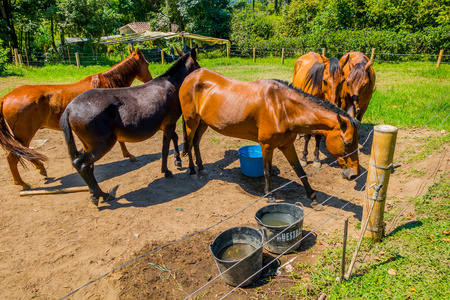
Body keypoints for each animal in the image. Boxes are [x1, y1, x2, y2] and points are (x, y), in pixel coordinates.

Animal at [0, 49, 152, 190]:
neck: (107, 84)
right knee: (13, 157)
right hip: (24, 135)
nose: (150, 80)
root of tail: (5, 97)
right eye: (147, 64)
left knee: (25, 153)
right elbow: (121, 140)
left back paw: (40, 168)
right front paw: (129, 155)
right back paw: (22, 183)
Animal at [59, 50, 200, 205]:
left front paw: (177, 159)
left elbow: (173, 139)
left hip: (88, 145)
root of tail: (69, 108)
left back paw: (96, 194)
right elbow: (165, 148)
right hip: (102, 144)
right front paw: (167, 170)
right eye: (199, 67)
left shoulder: (166, 125)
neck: (171, 84)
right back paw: (102, 194)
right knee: (81, 164)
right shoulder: (169, 124)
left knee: (89, 167)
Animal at [181, 68, 360, 206]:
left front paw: (313, 197)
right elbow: (266, 171)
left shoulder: (287, 145)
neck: (282, 107)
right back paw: (192, 170)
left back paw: (201, 168)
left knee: (195, 142)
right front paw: (269, 195)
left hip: (203, 123)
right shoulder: (266, 145)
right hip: (191, 121)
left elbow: (300, 171)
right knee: (189, 143)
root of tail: (191, 76)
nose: (354, 175)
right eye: (347, 143)